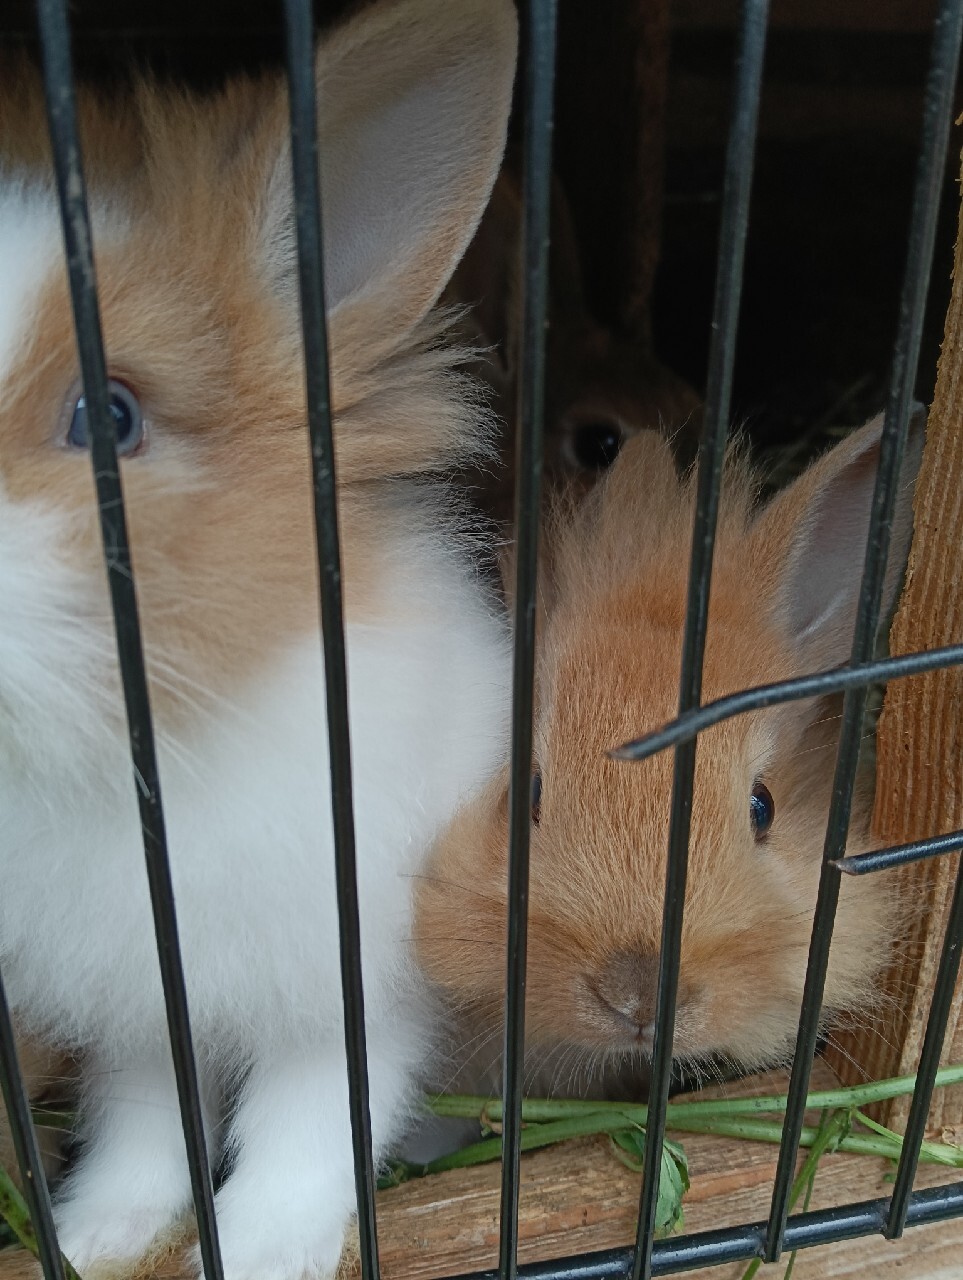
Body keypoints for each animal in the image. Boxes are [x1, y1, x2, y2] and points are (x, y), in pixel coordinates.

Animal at [0, 0, 516, 1276]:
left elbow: (313, 1116)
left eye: (110, 416)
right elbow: (142, 1117)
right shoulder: (138, 1005)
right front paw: (101, 1231)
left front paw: (268, 1245)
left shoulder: (352, 972)